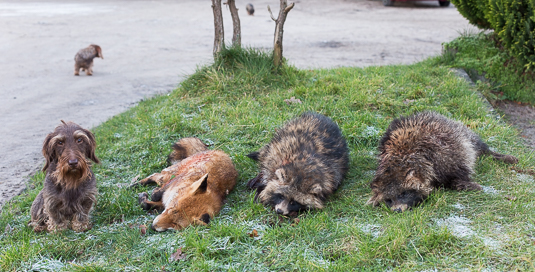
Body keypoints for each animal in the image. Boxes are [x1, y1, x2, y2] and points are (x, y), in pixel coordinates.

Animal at [368, 111, 520, 212]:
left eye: (403, 194)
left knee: (478, 145)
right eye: (388, 200)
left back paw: (498, 155)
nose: (396, 210)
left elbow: (459, 170)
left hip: (461, 132)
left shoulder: (444, 155)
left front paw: (464, 183)